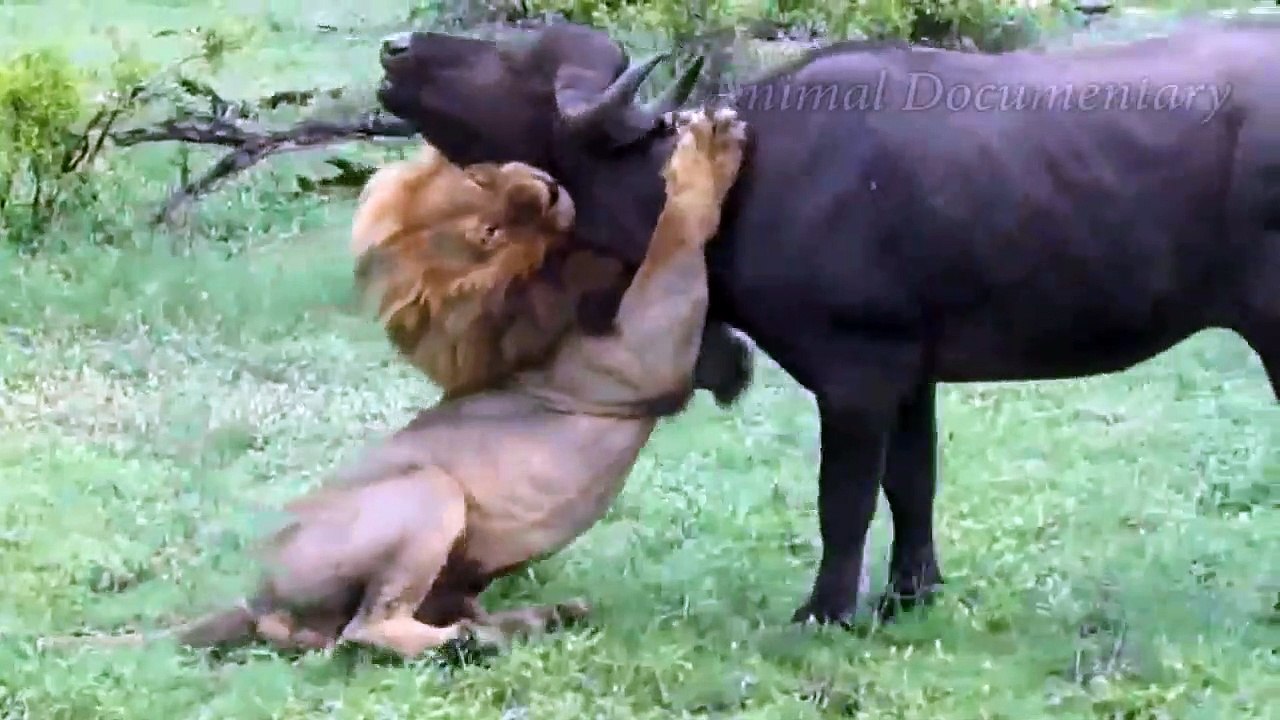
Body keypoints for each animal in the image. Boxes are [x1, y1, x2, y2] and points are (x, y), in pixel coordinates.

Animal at [42, 107, 748, 658]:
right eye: (488, 230)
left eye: (483, 173)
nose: (548, 187)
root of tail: (252, 594)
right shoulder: (640, 353)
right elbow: (672, 243)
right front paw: (706, 153)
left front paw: (734, 364)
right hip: (427, 493)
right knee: (364, 629)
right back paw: (469, 642)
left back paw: (531, 620)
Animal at [374, 20, 1280, 626]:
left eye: (517, 61)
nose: (397, 49)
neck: (753, 178)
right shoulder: (911, 374)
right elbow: (913, 483)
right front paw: (909, 595)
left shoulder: (856, 374)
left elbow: (843, 499)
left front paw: (826, 610)